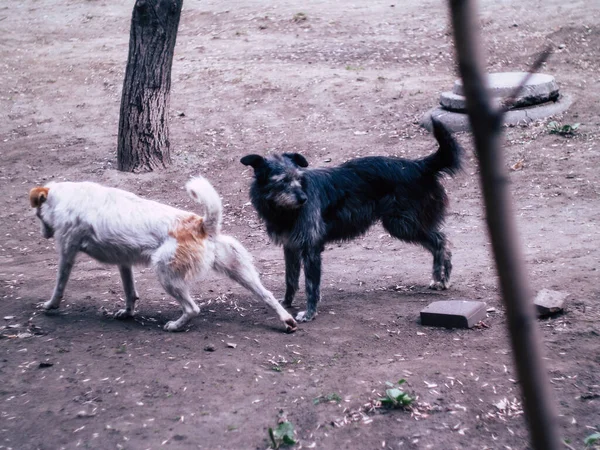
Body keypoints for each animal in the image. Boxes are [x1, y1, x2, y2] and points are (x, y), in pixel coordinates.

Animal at [30, 175, 298, 330]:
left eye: (37, 214)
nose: (43, 235)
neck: (65, 198)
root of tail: (201, 224)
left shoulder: (67, 252)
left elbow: (59, 285)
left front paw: (51, 305)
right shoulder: (123, 263)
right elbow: (130, 292)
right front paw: (128, 313)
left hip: (165, 273)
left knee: (193, 309)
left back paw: (175, 325)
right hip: (241, 273)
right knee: (268, 296)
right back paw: (287, 320)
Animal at [240, 118, 464, 322]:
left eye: (298, 178)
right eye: (283, 181)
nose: (304, 199)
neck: (284, 211)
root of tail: (417, 165)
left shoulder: (310, 248)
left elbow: (311, 286)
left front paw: (309, 314)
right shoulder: (291, 246)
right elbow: (290, 279)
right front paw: (285, 304)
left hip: (401, 224)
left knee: (441, 241)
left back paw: (443, 279)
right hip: (404, 224)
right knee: (439, 240)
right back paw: (439, 278)